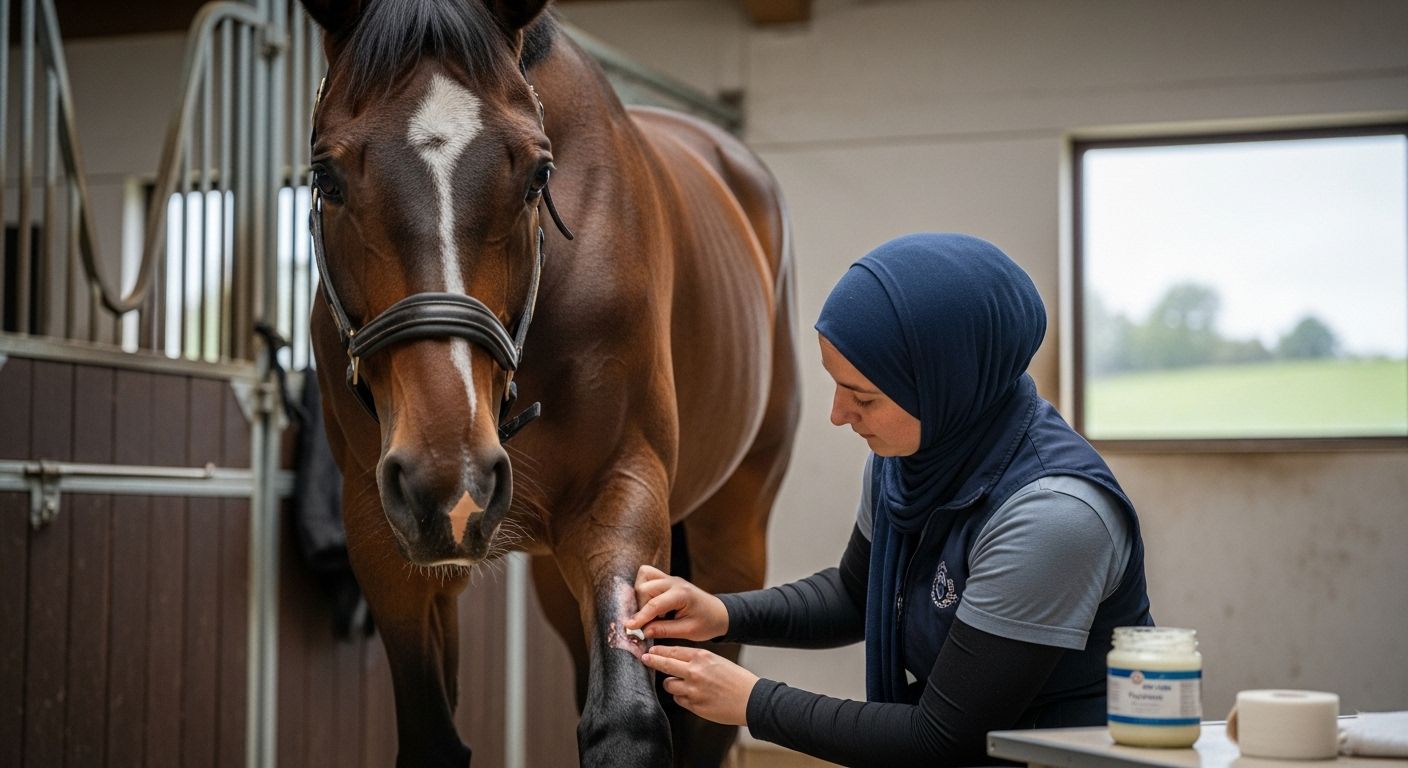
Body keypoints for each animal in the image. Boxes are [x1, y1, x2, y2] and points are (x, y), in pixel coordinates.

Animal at [299, 0, 800, 765]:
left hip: (732, 535)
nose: (450, 479)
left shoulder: (621, 489)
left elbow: (628, 718)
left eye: (539, 176)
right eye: (325, 177)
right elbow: (433, 735)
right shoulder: (384, 536)